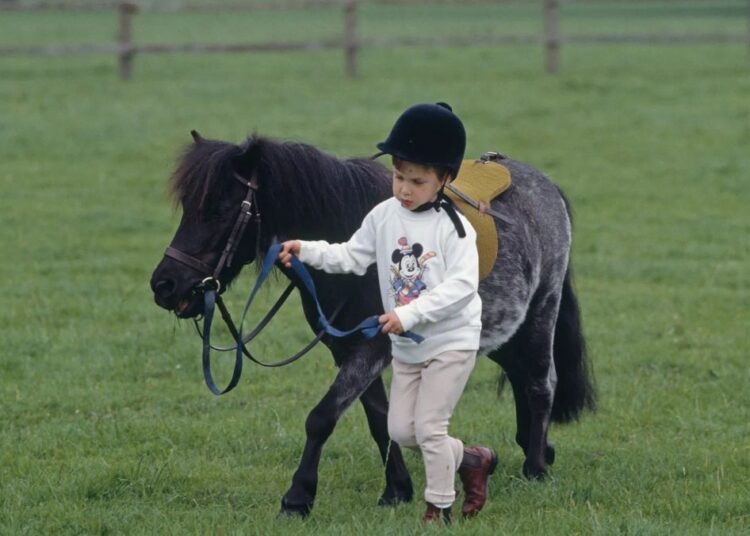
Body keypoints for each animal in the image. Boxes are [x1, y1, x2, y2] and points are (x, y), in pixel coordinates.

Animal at [149, 131, 596, 517]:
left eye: (220, 211)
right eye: (188, 209)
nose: (164, 286)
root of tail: (546, 186)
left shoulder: (372, 346)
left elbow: (323, 417)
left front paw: (298, 498)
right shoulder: (346, 348)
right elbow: (381, 419)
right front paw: (397, 490)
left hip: (541, 312)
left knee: (540, 383)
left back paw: (536, 468)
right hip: (504, 331)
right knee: (521, 377)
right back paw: (535, 451)